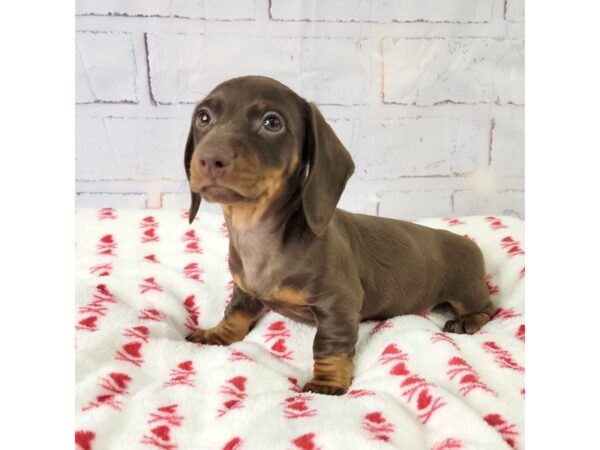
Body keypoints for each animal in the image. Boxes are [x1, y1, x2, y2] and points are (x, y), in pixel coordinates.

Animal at [185, 75, 494, 396]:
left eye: (272, 122)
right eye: (204, 117)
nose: (209, 159)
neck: (259, 235)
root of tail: (467, 242)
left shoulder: (338, 305)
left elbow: (328, 345)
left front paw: (326, 383)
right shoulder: (245, 290)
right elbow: (235, 313)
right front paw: (217, 335)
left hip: (466, 291)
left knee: (488, 308)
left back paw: (467, 321)